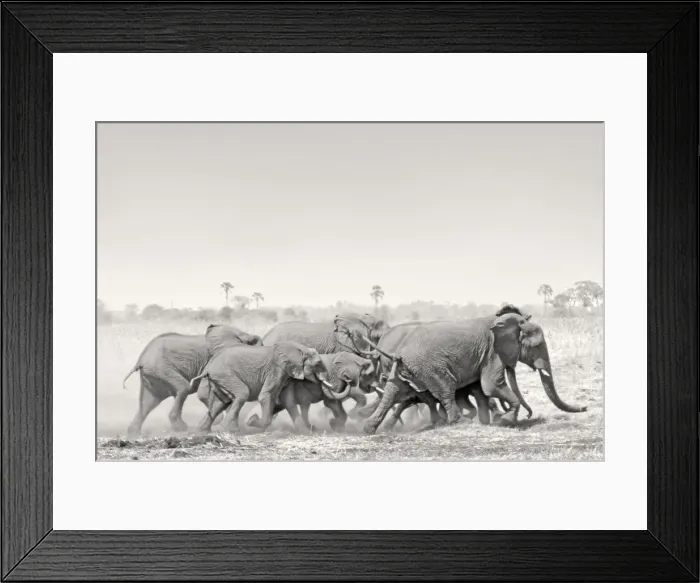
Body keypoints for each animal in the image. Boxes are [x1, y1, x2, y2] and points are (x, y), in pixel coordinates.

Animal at [122, 324, 262, 437]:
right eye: (251, 342)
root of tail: (140, 361)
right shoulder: (212, 361)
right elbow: (205, 392)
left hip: (153, 376)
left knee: (148, 402)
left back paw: (134, 434)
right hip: (162, 369)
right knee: (183, 388)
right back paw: (182, 428)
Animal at [192, 341, 349, 434]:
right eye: (317, 364)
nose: (346, 378)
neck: (298, 348)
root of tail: (209, 366)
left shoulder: (286, 373)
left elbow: (288, 401)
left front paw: (305, 432)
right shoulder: (276, 369)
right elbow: (266, 396)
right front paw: (252, 421)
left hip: (220, 378)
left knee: (220, 403)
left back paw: (202, 431)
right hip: (225, 374)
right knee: (241, 394)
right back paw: (231, 429)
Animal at [245, 351, 379, 432]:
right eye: (370, 375)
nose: (349, 381)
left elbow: (335, 402)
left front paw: (337, 426)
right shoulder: (333, 378)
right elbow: (331, 402)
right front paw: (335, 424)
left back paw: (252, 421)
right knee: (294, 404)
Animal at [337, 311, 587, 434]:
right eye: (536, 346)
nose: (584, 408)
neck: (506, 321)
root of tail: (399, 351)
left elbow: (482, 388)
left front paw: (491, 421)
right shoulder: (493, 352)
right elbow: (490, 385)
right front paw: (505, 421)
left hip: (406, 369)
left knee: (393, 392)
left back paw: (370, 428)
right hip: (431, 367)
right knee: (444, 390)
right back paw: (457, 421)